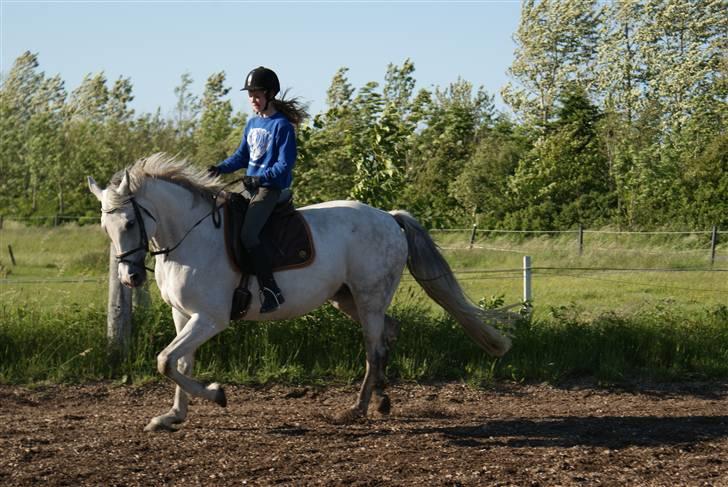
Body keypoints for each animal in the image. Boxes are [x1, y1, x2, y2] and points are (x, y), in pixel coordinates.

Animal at [86, 154, 512, 432]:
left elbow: (165, 361)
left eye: (129, 223)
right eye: (105, 228)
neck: (190, 236)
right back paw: (382, 399)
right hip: (346, 298)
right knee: (389, 334)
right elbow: (179, 363)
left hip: (369, 297)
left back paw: (356, 409)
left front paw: (217, 395)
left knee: (374, 346)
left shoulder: (210, 319)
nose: (130, 278)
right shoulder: (184, 315)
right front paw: (173, 417)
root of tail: (390, 218)